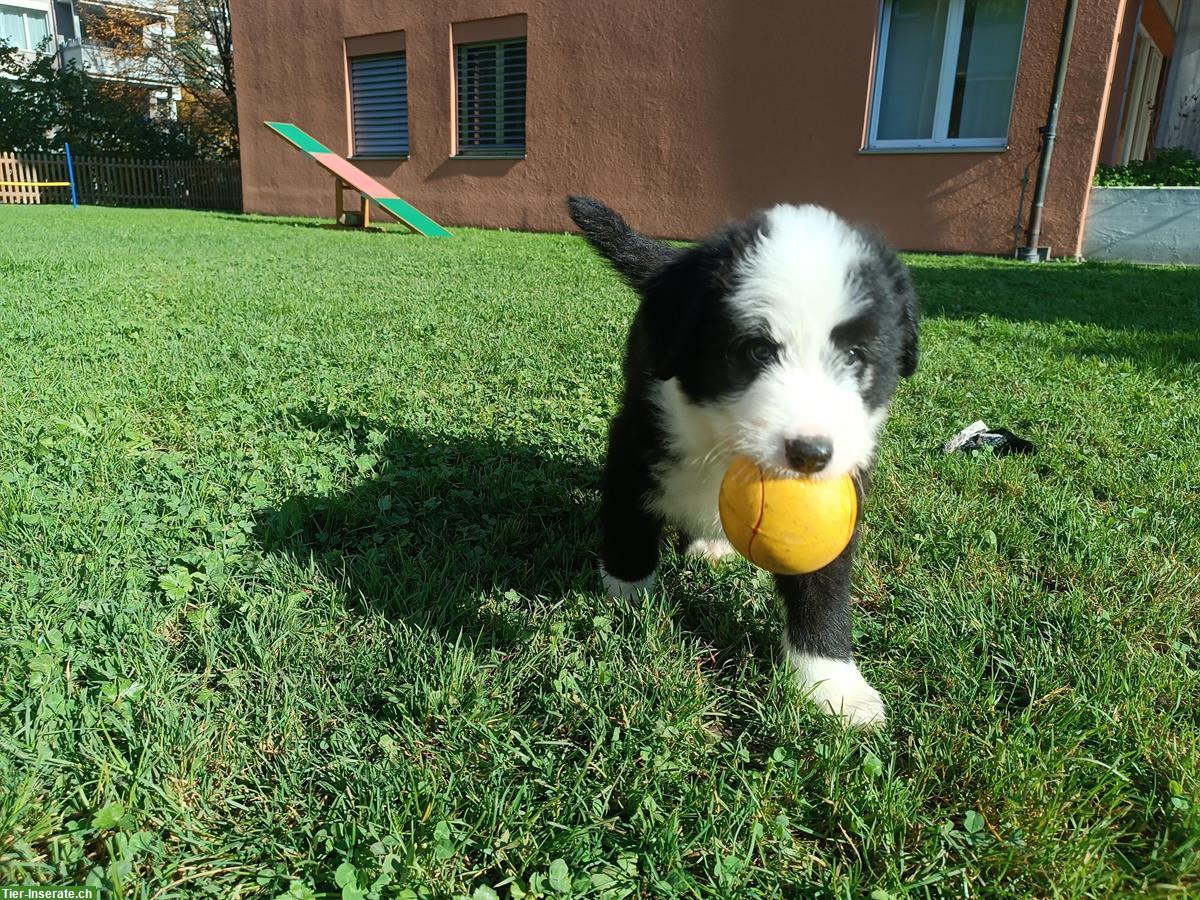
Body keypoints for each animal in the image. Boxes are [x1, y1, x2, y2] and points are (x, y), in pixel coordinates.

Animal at [568, 195, 916, 724]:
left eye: (856, 356)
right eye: (756, 350)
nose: (810, 454)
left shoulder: (839, 492)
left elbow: (823, 583)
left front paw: (834, 684)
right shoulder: (638, 433)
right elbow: (629, 516)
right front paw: (627, 592)